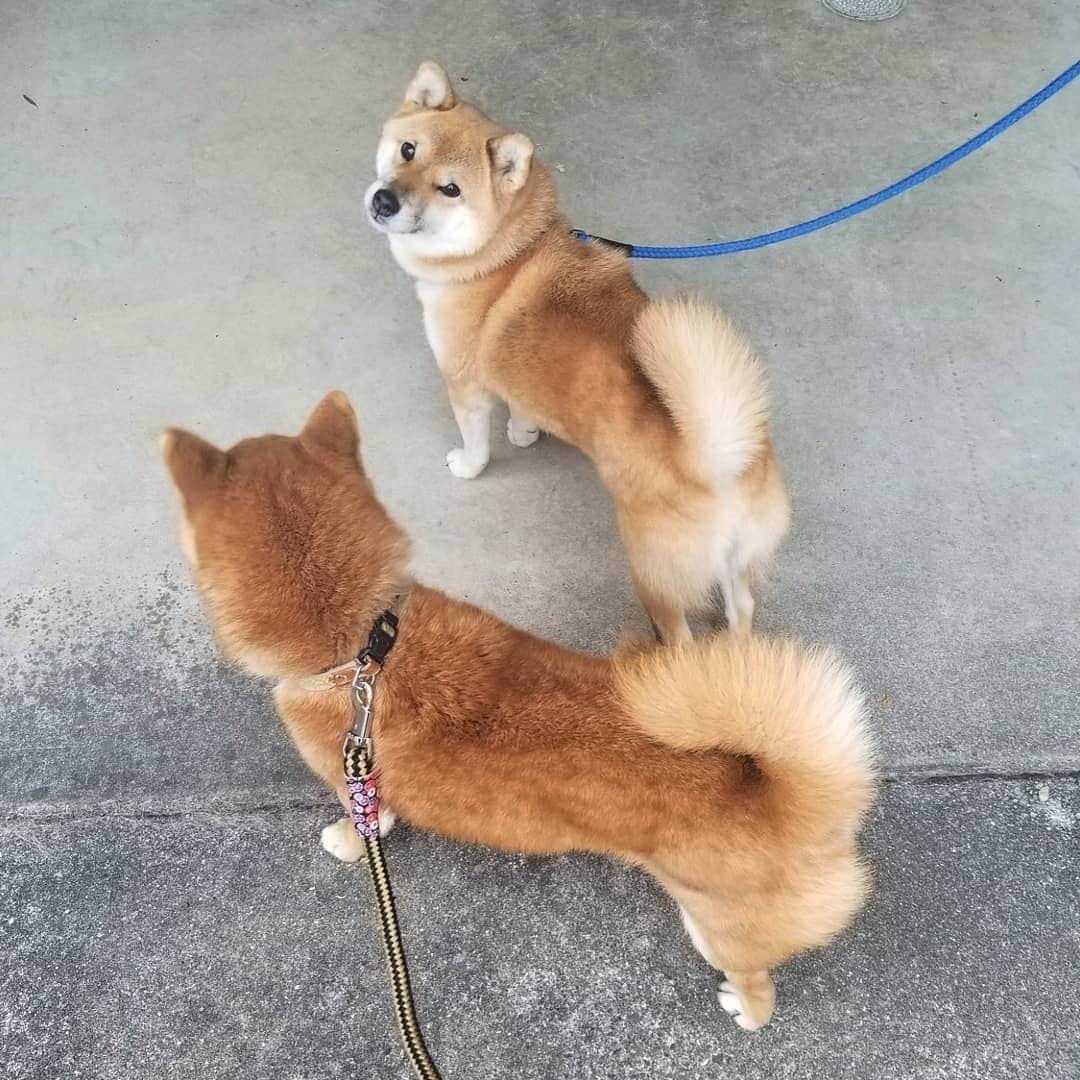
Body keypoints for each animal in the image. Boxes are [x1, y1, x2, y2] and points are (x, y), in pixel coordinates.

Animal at [157, 393, 868, 1032]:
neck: (363, 650)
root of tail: (787, 796)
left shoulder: (352, 780)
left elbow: (364, 823)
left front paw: (344, 841)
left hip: (717, 928)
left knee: (757, 986)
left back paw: (744, 1009)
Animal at [367, 61, 790, 639]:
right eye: (408, 150)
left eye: (449, 189)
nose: (384, 201)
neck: (503, 254)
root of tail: (720, 461)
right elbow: (522, 406)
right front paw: (524, 433)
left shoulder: (464, 383)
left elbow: (477, 442)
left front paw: (470, 464)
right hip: (734, 563)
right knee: (740, 608)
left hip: (653, 572)